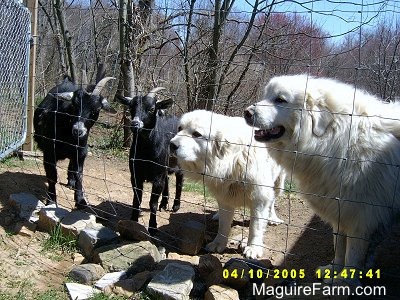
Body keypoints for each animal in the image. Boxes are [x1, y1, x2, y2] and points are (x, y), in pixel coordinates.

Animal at [33, 75, 115, 207]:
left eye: (96, 110)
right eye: (73, 106)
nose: (78, 131)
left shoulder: (81, 153)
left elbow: (79, 175)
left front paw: (80, 200)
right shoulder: (49, 153)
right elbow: (52, 176)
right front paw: (51, 200)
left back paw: (71, 182)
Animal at [116, 88, 184, 236]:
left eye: (152, 109)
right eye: (131, 107)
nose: (135, 124)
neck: (146, 152)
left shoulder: (157, 176)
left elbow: (152, 202)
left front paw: (152, 227)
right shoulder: (135, 174)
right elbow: (137, 199)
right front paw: (133, 221)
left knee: (179, 180)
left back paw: (176, 206)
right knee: (167, 180)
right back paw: (164, 204)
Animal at [170, 109, 286, 258]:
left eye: (196, 134)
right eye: (179, 128)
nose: (171, 144)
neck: (233, 160)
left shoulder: (259, 197)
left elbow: (255, 226)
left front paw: (253, 248)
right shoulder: (225, 196)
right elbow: (224, 225)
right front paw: (219, 243)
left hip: (278, 183)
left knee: (272, 201)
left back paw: (273, 218)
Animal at [244, 74, 400, 284]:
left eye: (280, 100)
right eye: (266, 96)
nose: (247, 112)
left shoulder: (362, 218)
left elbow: (352, 256)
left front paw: (345, 282)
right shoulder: (341, 211)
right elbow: (339, 247)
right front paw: (333, 270)